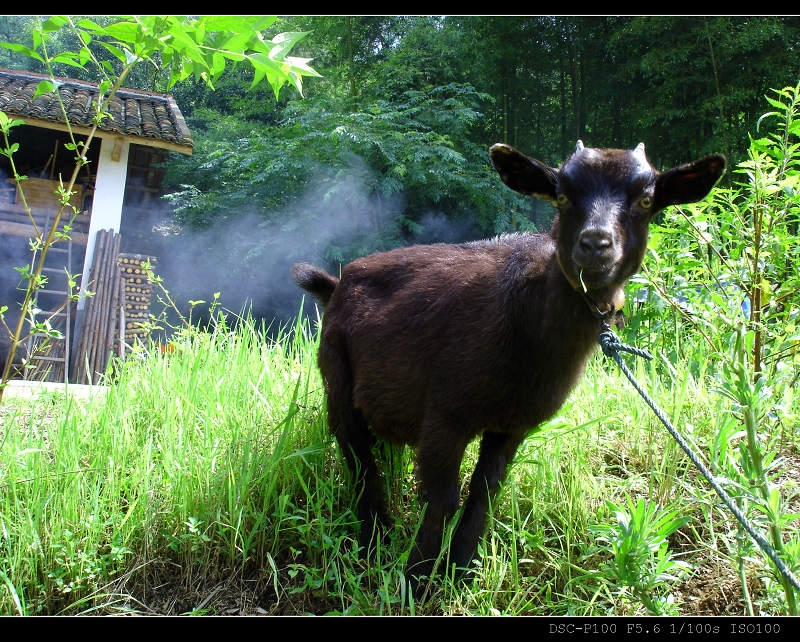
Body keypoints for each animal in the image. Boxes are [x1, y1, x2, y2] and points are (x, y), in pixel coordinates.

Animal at [292, 141, 724, 596]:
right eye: (562, 195)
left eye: (645, 200)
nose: (595, 244)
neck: (526, 319)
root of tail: (338, 283)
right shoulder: (446, 413)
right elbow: (442, 497)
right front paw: (418, 580)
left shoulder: (513, 426)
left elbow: (484, 493)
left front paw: (461, 571)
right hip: (336, 375)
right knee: (357, 455)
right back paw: (374, 539)